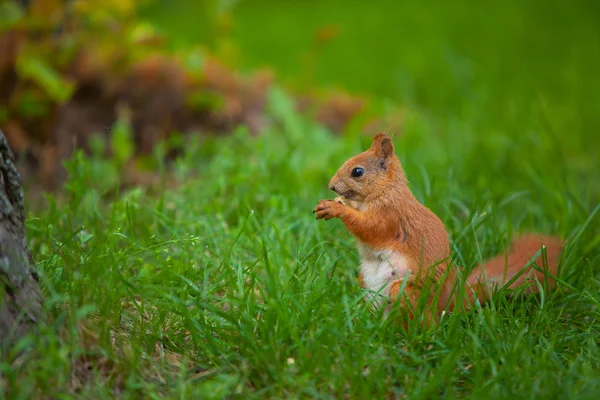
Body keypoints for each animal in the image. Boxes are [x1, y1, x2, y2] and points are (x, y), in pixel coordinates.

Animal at [312, 133, 564, 324]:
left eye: (357, 172)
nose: (331, 186)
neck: (384, 191)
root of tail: (444, 305)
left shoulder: (390, 215)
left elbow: (370, 228)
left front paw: (337, 209)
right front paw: (337, 203)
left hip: (406, 291)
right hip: (364, 280)